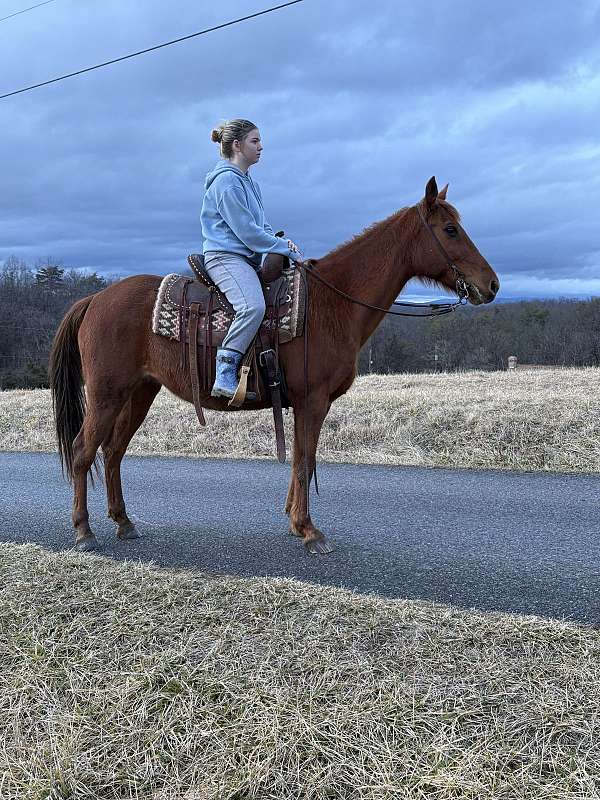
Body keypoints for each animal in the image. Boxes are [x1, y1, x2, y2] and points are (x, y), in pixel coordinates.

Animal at [50, 179, 502, 556]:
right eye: (450, 230)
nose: (493, 284)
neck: (332, 303)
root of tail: (94, 299)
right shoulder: (312, 402)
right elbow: (303, 462)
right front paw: (309, 530)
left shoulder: (306, 405)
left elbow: (304, 458)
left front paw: (294, 522)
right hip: (107, 394)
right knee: (83, 450)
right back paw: (84, 531)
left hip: (139, 392)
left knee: (112, 452)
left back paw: (124, 523)